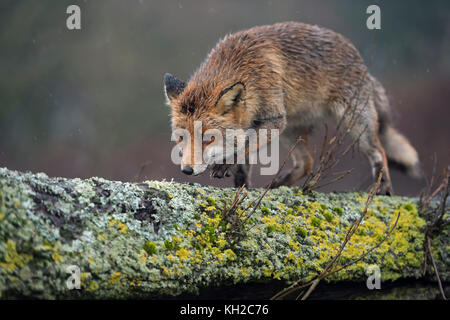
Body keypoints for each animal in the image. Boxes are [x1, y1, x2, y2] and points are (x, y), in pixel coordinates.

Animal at [165, 22, 422, 195]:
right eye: (181, 138)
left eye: (209, 138)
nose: (186, 170)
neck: (246, 67)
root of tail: (359, 58)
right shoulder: (254, 124)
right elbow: (242, 164)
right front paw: (242, 189)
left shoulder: (273, 119)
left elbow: (243, 148)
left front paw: (226, 164)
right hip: (291, 130)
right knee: (306, 163)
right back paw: (276, 185)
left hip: (354, 123)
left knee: (379, 151)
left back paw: (383, 188)